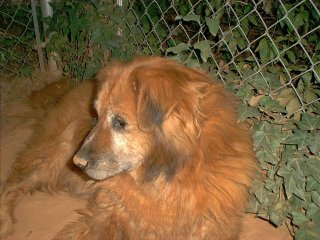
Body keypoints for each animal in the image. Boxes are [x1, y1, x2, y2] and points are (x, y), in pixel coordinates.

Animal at [0, 55, 255, 238]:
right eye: (96, 117)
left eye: (120, 122)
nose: (77, 163)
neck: (162, 181)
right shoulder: (106, 215)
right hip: (53, 155)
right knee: (12, 186)